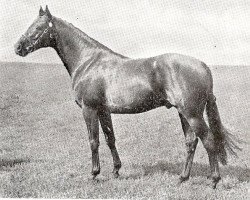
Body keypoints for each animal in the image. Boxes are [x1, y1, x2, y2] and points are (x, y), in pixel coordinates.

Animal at [14, 5, 240, 188]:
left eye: (37, 27)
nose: (18, 47)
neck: (88, 61)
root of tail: (203, 66)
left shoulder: (89, 109)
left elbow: (93, 141)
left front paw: (94, 174)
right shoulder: (103, 110)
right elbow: (110, 139)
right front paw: (115, 170)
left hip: (192, 114)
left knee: (208, 140)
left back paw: (214, 181)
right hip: (184, 113)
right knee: (191, 142)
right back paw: (182, 178)